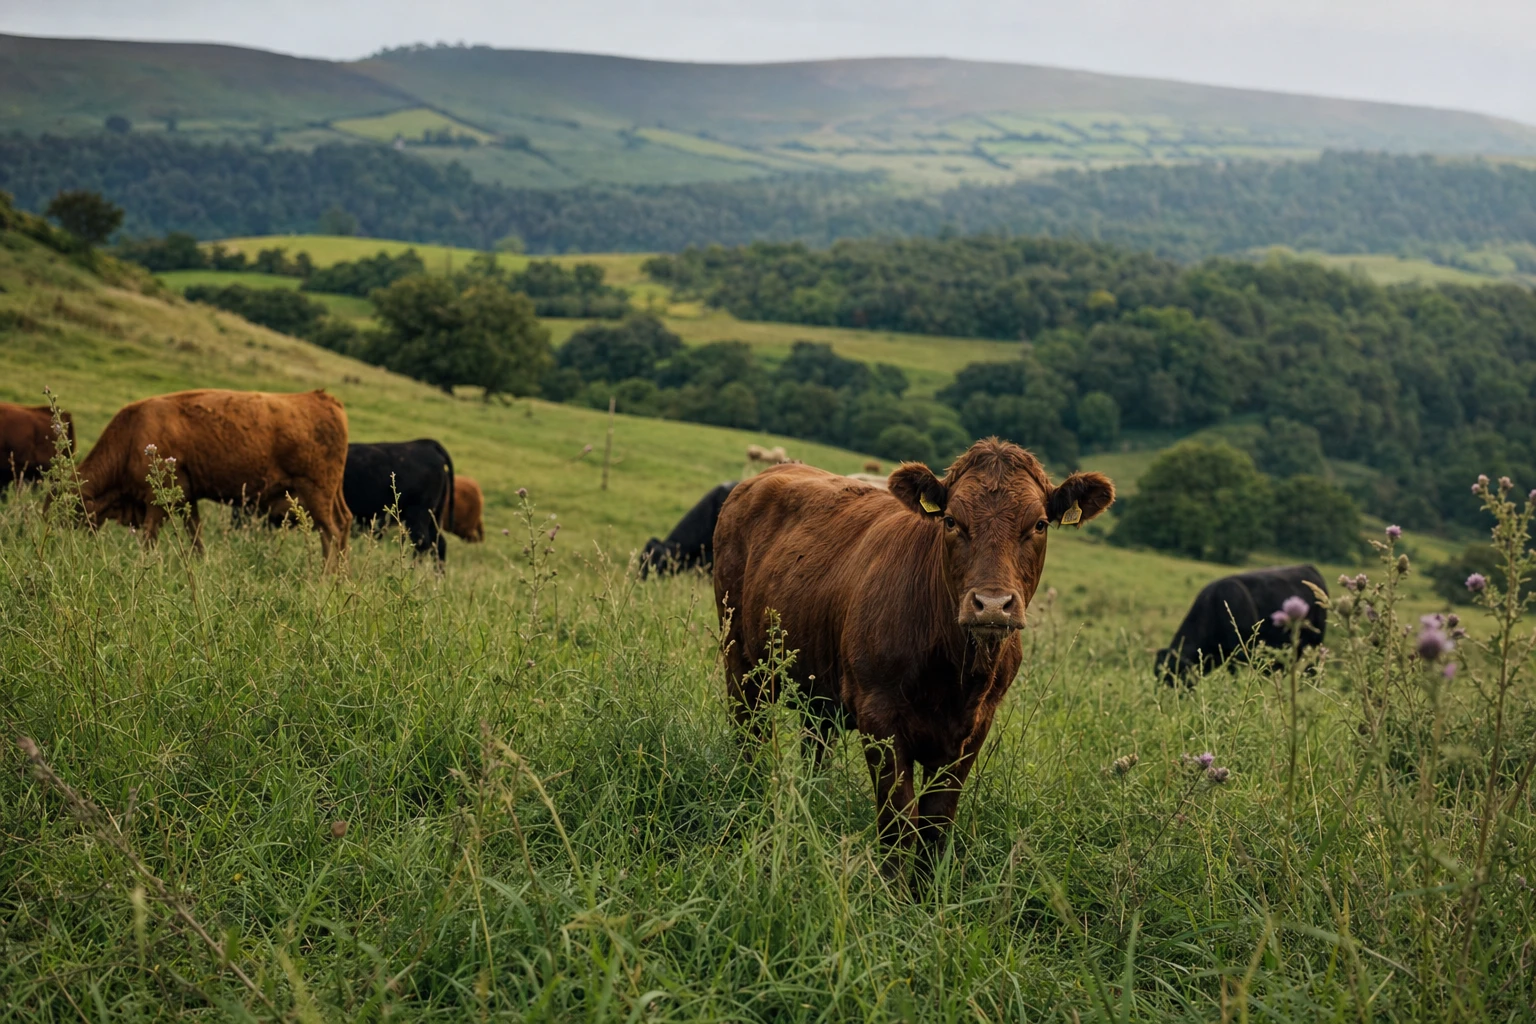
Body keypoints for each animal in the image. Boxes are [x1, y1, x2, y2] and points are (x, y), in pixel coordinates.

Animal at [74, 389, 351, 565]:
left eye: (75, 509)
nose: (70, 543)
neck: (132, 435)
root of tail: (323, 399)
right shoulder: (187, 498)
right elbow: (195, 535)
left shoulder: (157, 501)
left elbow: (149, 538)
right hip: (331, 496)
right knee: (344, 523)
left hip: (316, 493)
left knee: (331, 532)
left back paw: (324, 579)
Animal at [714, 438, 1114, 857]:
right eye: (951, 521)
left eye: (1038, 524)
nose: (991, 605)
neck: (957, 675)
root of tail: (767, 473)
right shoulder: (880, 717)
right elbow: (899, 826)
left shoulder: (973, 732)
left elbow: (936, 827)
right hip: (740, 659)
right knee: (749, 733)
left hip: (818, 687)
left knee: (815, 747)